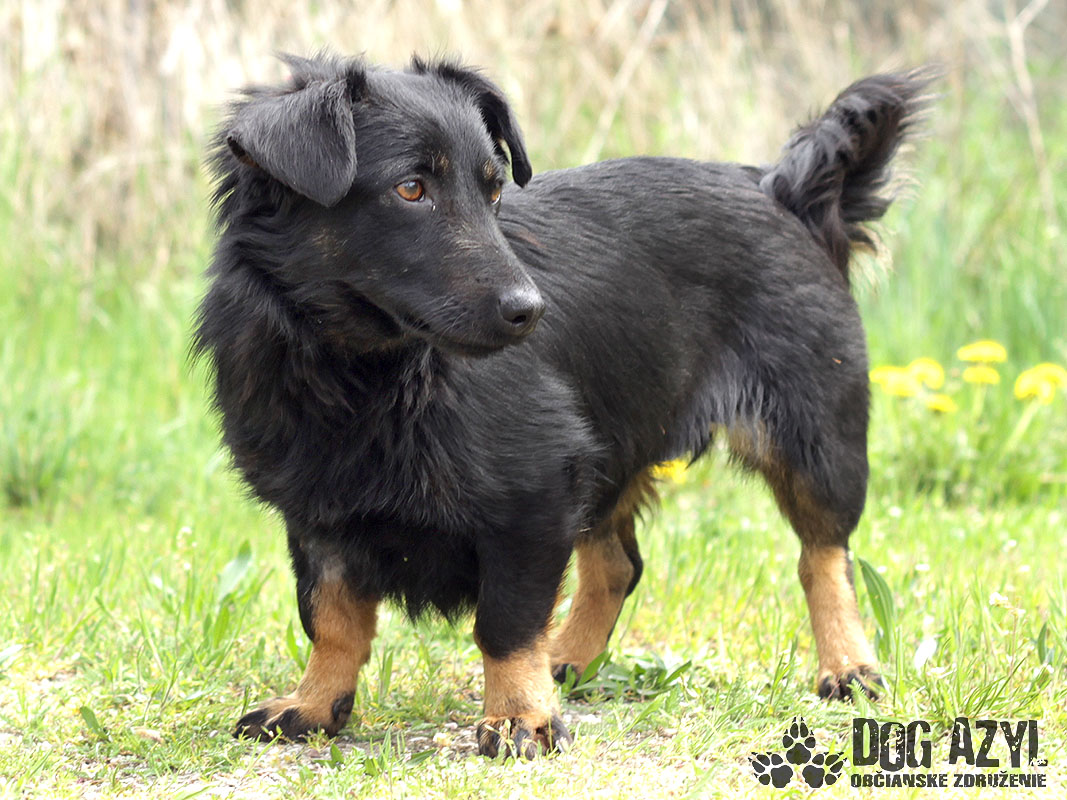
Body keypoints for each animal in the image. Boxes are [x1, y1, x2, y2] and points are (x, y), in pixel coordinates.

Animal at [195, 53, 932, 758]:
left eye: (494, 189)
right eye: (410, 189)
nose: (530, 311)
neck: (366, 371)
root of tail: (782, 192)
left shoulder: (532, 496)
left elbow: (505, 623)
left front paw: (519, 717)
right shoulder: (318, 513)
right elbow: (331, 619)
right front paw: (315, 704)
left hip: (813, 439)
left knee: (823, 557)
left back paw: (847, 664)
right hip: (607, 447)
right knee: (618, 565)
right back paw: (568, 661)